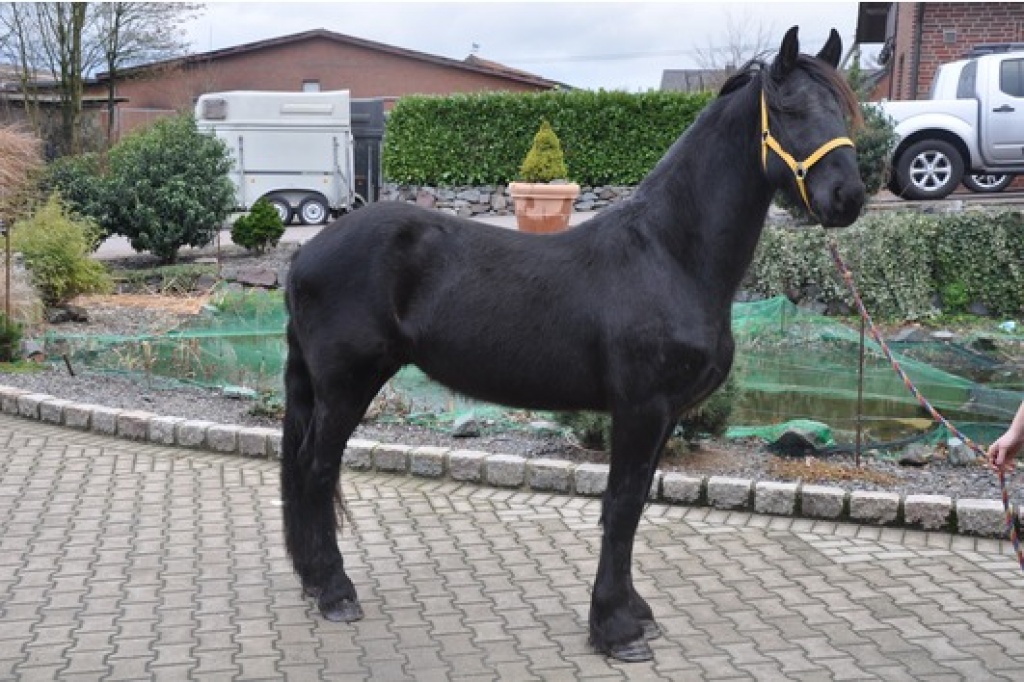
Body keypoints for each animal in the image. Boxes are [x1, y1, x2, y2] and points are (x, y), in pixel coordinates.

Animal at [280, 26, 865, 662]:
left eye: (843, 108)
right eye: (790, 110)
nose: (848, 197)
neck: (669, 253)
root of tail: (305, 253)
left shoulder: (661, 416)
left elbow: (635, 503)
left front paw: (634, 611)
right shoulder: (641, 409)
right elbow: (623, 506)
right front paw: (615, 628)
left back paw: (312, 580)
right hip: (347, 386)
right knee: (316, 469)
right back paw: (335, 591)